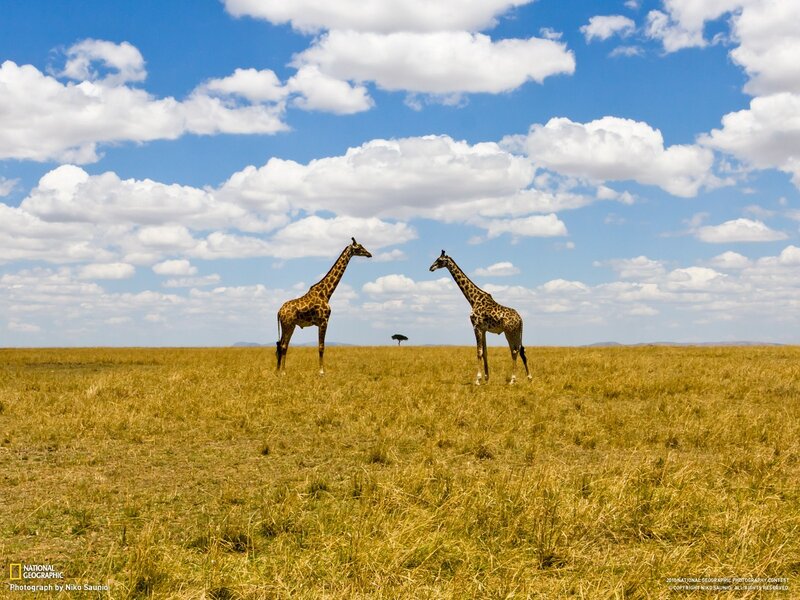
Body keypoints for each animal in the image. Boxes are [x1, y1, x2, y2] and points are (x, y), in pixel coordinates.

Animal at [276, 238, 372, 375]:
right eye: (359, 247)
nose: (369, 254)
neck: (326, 293)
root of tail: (279, 311)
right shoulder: (324, 321)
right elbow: (321, 347)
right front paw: (321, 371)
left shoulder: (321, 322)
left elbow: (320, 346)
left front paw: (321, 370)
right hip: (288, 325)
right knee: (283, 345)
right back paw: (283, 372)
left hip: (289, 325)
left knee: (281, 344)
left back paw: (278, 371)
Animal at [430, 250, 532, 385]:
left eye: (439, 260)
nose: (431, 267)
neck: (473, 299)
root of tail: (520, 320)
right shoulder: (483, 329)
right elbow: (485, 352)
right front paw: (486, 378)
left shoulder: (476, 326)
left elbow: (479, 352)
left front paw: (477, 380)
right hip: (516, 332)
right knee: (521, 350)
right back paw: (529, 377)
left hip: (509, 332)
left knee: (514, 351)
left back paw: (512, 380)